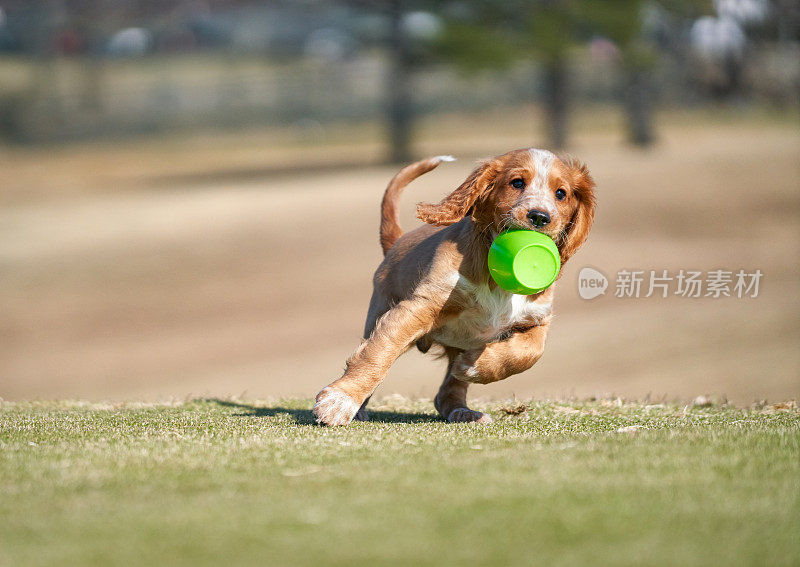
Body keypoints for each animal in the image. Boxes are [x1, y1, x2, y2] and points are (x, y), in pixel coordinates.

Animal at [312, 150, 592, 426]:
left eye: (561, 193)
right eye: (517, 183)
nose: (540, 216)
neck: (496, 277)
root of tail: (398, 241)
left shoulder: (537, 319)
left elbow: (531, 352)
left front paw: (473, 366)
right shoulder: (423, 306)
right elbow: (380, 350)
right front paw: (340, 401)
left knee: (447, 391)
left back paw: (464, 410)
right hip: (378, 311)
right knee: (369, 345)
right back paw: (359, 408)